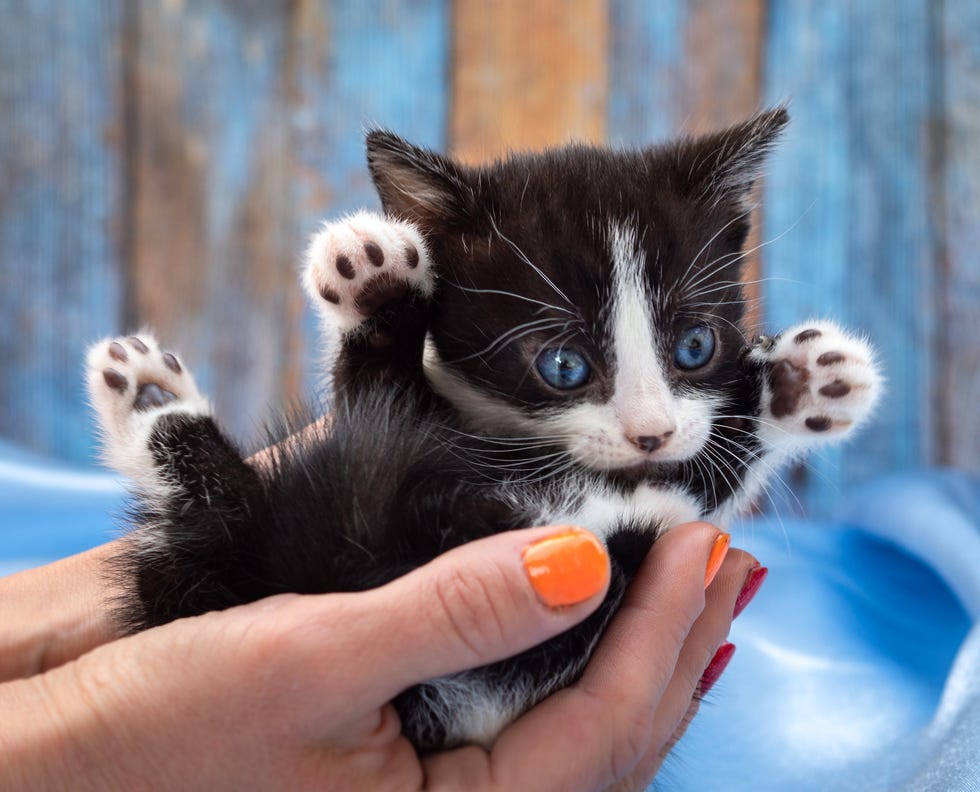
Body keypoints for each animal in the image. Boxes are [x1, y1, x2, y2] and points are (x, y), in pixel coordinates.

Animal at [86, 108, 880, 752]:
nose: (649, 433)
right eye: (563, 364)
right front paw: (376, 284)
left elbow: (706, 469)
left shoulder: (663, 512)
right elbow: (373, 393)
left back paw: (150, 402)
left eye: (696, 347)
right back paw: (151, 401)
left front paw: (799, 384)